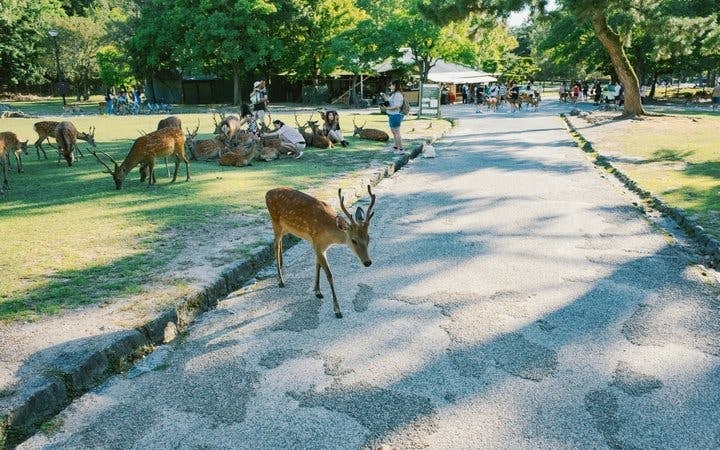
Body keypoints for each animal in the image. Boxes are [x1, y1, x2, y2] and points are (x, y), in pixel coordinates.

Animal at [266, 184, 376, 318]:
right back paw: (281, 281)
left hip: (285, 228)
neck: (328, 234)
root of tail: (267, 193)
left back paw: (282, 267)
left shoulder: (319, 246)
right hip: (275, 221)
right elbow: (329, 274)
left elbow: (318, 265)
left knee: (280, 242)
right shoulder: (317, 243)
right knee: (275, 245)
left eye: (369, 238)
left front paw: (317, 291)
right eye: (353, 240)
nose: (367, 262)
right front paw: (337, 310)